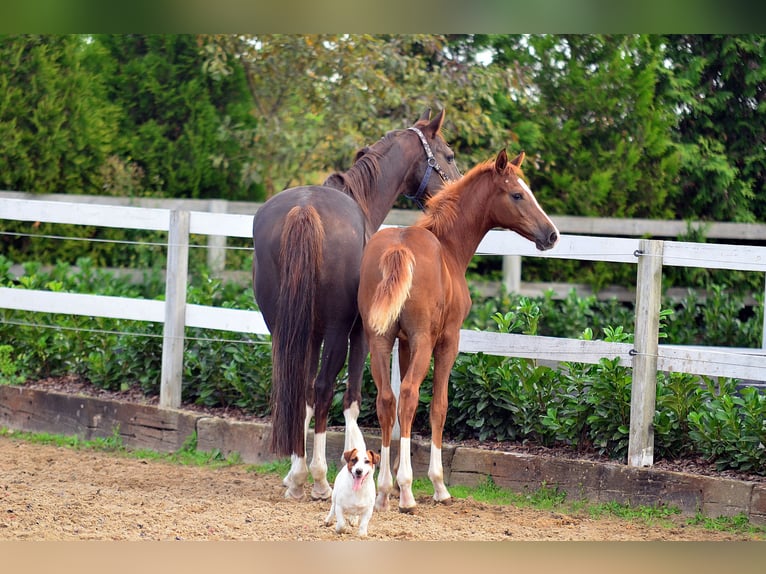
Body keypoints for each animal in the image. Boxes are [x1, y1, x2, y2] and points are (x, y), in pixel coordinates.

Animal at [252, 110, 462, 502]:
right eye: (449, 155)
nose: (455, 188)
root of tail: (304, 209)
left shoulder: (310, 332)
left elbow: (304, 396)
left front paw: (293, 474)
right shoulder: (361, 333)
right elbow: (351, 398)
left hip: (284, 328)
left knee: (295, 388)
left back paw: (299, 476)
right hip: (337, 330)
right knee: (324, 388)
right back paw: (318, 479)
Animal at [356, 148, 560, 512]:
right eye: (517, 194)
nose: (551, 235)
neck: (447, 246)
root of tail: (399, 249)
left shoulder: (404, 344)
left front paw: (389, 486)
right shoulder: (448, 340)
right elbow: (439, 405)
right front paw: (438, 485)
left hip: (378, 340)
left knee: (387, 400)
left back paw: (383, 491)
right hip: (424, 341)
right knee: (409, 396)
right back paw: (407, 493)